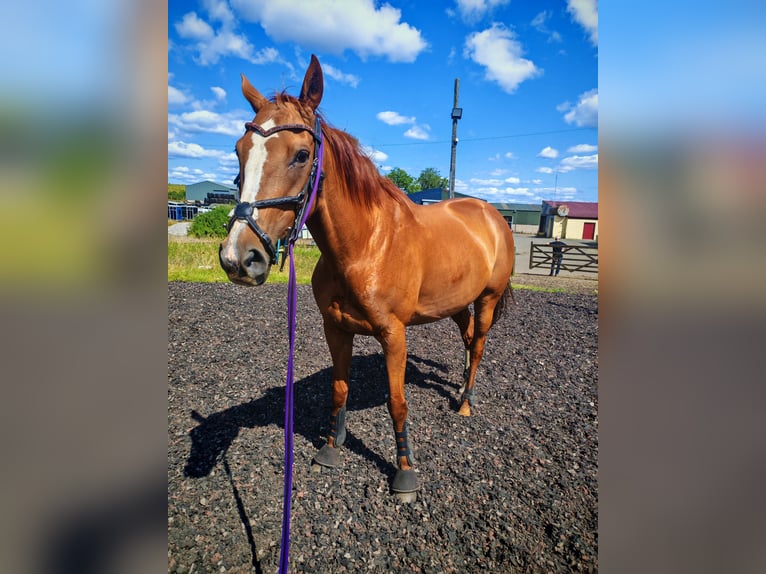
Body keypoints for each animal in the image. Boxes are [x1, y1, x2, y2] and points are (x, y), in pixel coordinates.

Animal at [219, 55, 515, 498]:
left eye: (301, 155)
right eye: (239, 151)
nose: (239, 258)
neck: (364, 246)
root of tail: (493, 214)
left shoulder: (394, 334)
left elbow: (397, 402)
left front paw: (405, 471)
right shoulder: (336, 328)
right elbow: (339, 389)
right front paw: (331, 446)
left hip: (488, 299)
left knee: (477, 345)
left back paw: (465, 401)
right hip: (456, 303)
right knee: (466, 339)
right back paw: (463, 387)